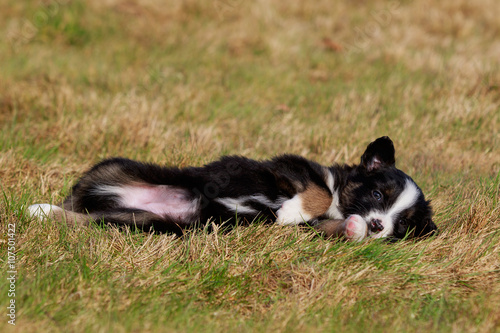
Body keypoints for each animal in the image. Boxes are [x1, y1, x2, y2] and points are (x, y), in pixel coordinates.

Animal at [27, 136, 436, 240]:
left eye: (402, 224)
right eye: (377, 194)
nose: (379, 225)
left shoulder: (318, 228)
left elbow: (336, 227)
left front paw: (356, 228)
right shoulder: (291, 169)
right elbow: (316, 192)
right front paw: (289, 211)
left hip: (139, 223)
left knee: (87, 220)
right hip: (117, 168)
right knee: (76, 203)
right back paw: (40, 209)